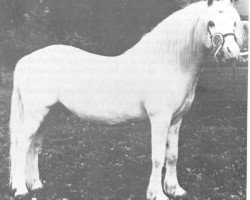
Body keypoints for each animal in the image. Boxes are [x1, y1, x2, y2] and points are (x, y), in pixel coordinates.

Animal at [10, 0, 244, 199]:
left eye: (234, 22)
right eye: (211, 22)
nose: (232, 53)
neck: (168, 62)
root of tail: (25, 60)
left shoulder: (176, 120)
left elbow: (172, 155)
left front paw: (175, 190)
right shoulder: (159, 119)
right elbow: (158, 157)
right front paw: (157, 194)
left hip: (50, 113)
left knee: (34, 145)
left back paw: (36, 185)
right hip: (36, 113)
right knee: (22, 143)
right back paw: (21, 188)